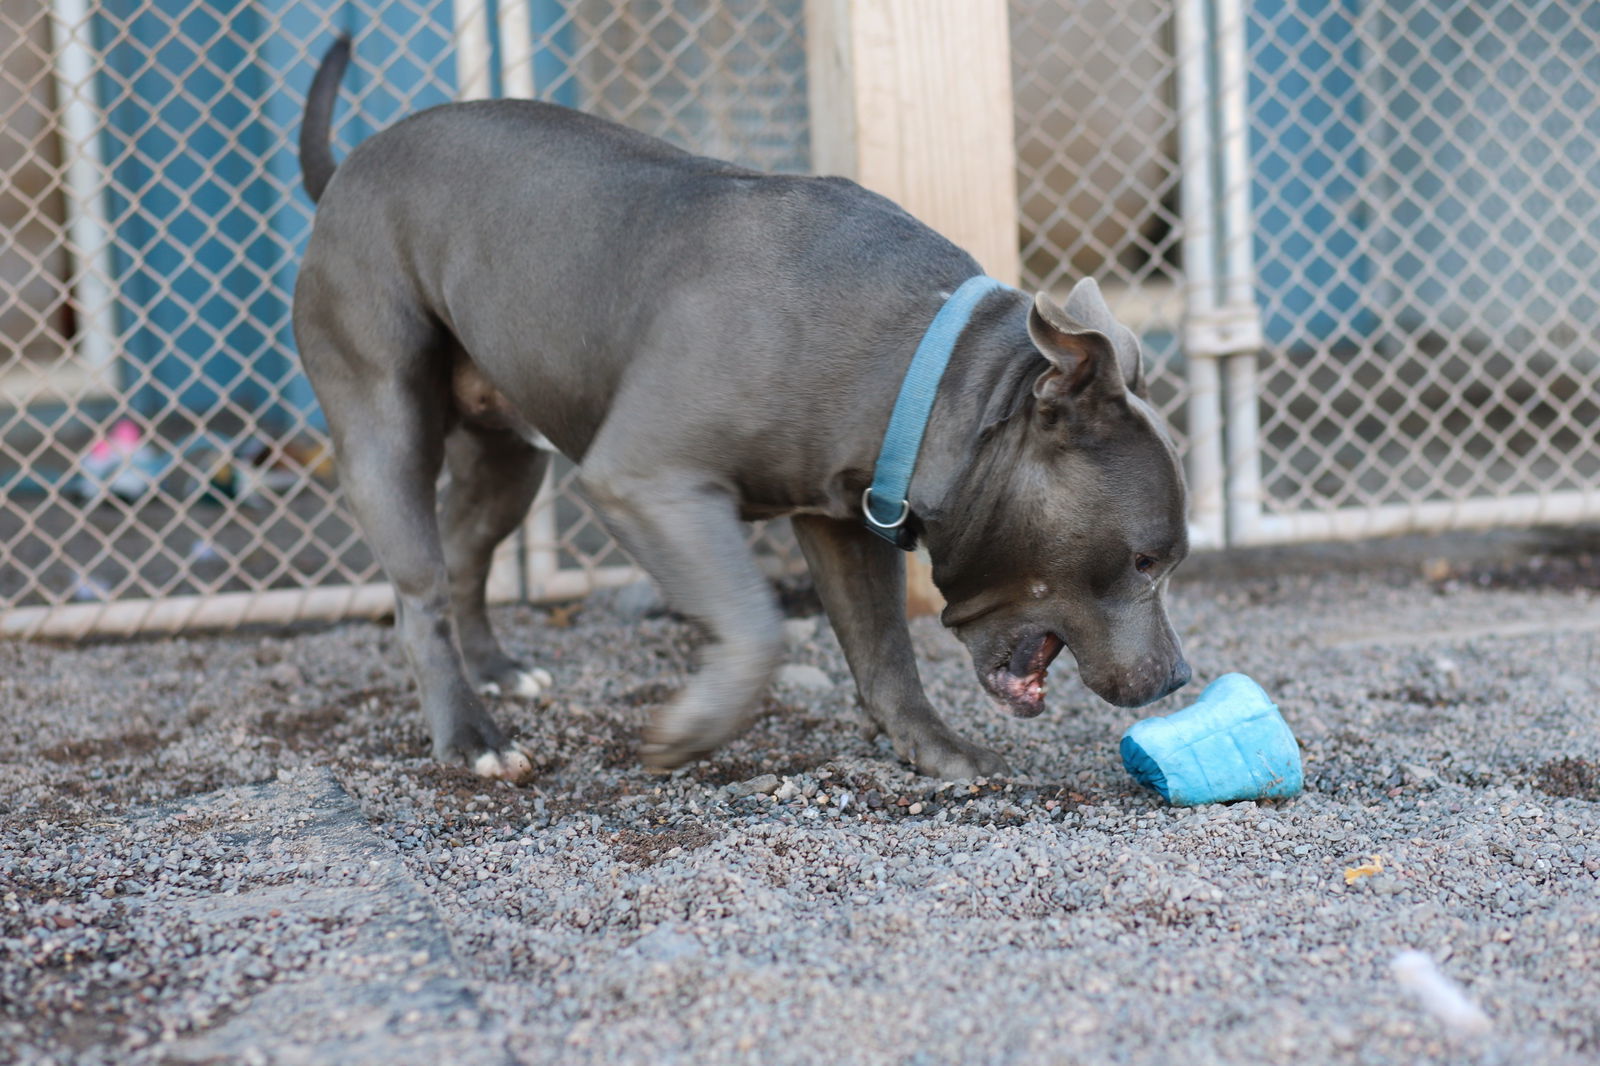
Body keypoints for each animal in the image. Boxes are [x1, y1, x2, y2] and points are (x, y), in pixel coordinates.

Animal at [291, 37, 1190, 781]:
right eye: (1146, 561)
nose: (1181, 676)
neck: (928, 365)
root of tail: (349, 168)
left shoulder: (842, 523)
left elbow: (884, 655)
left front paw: (936, 750)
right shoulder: (649, 484)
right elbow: (756, 627)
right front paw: (688, 734)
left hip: (508, 457)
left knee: (466, 553)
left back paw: (495, 671)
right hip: (385, 430)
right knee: (420, 591)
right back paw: (471, 737)